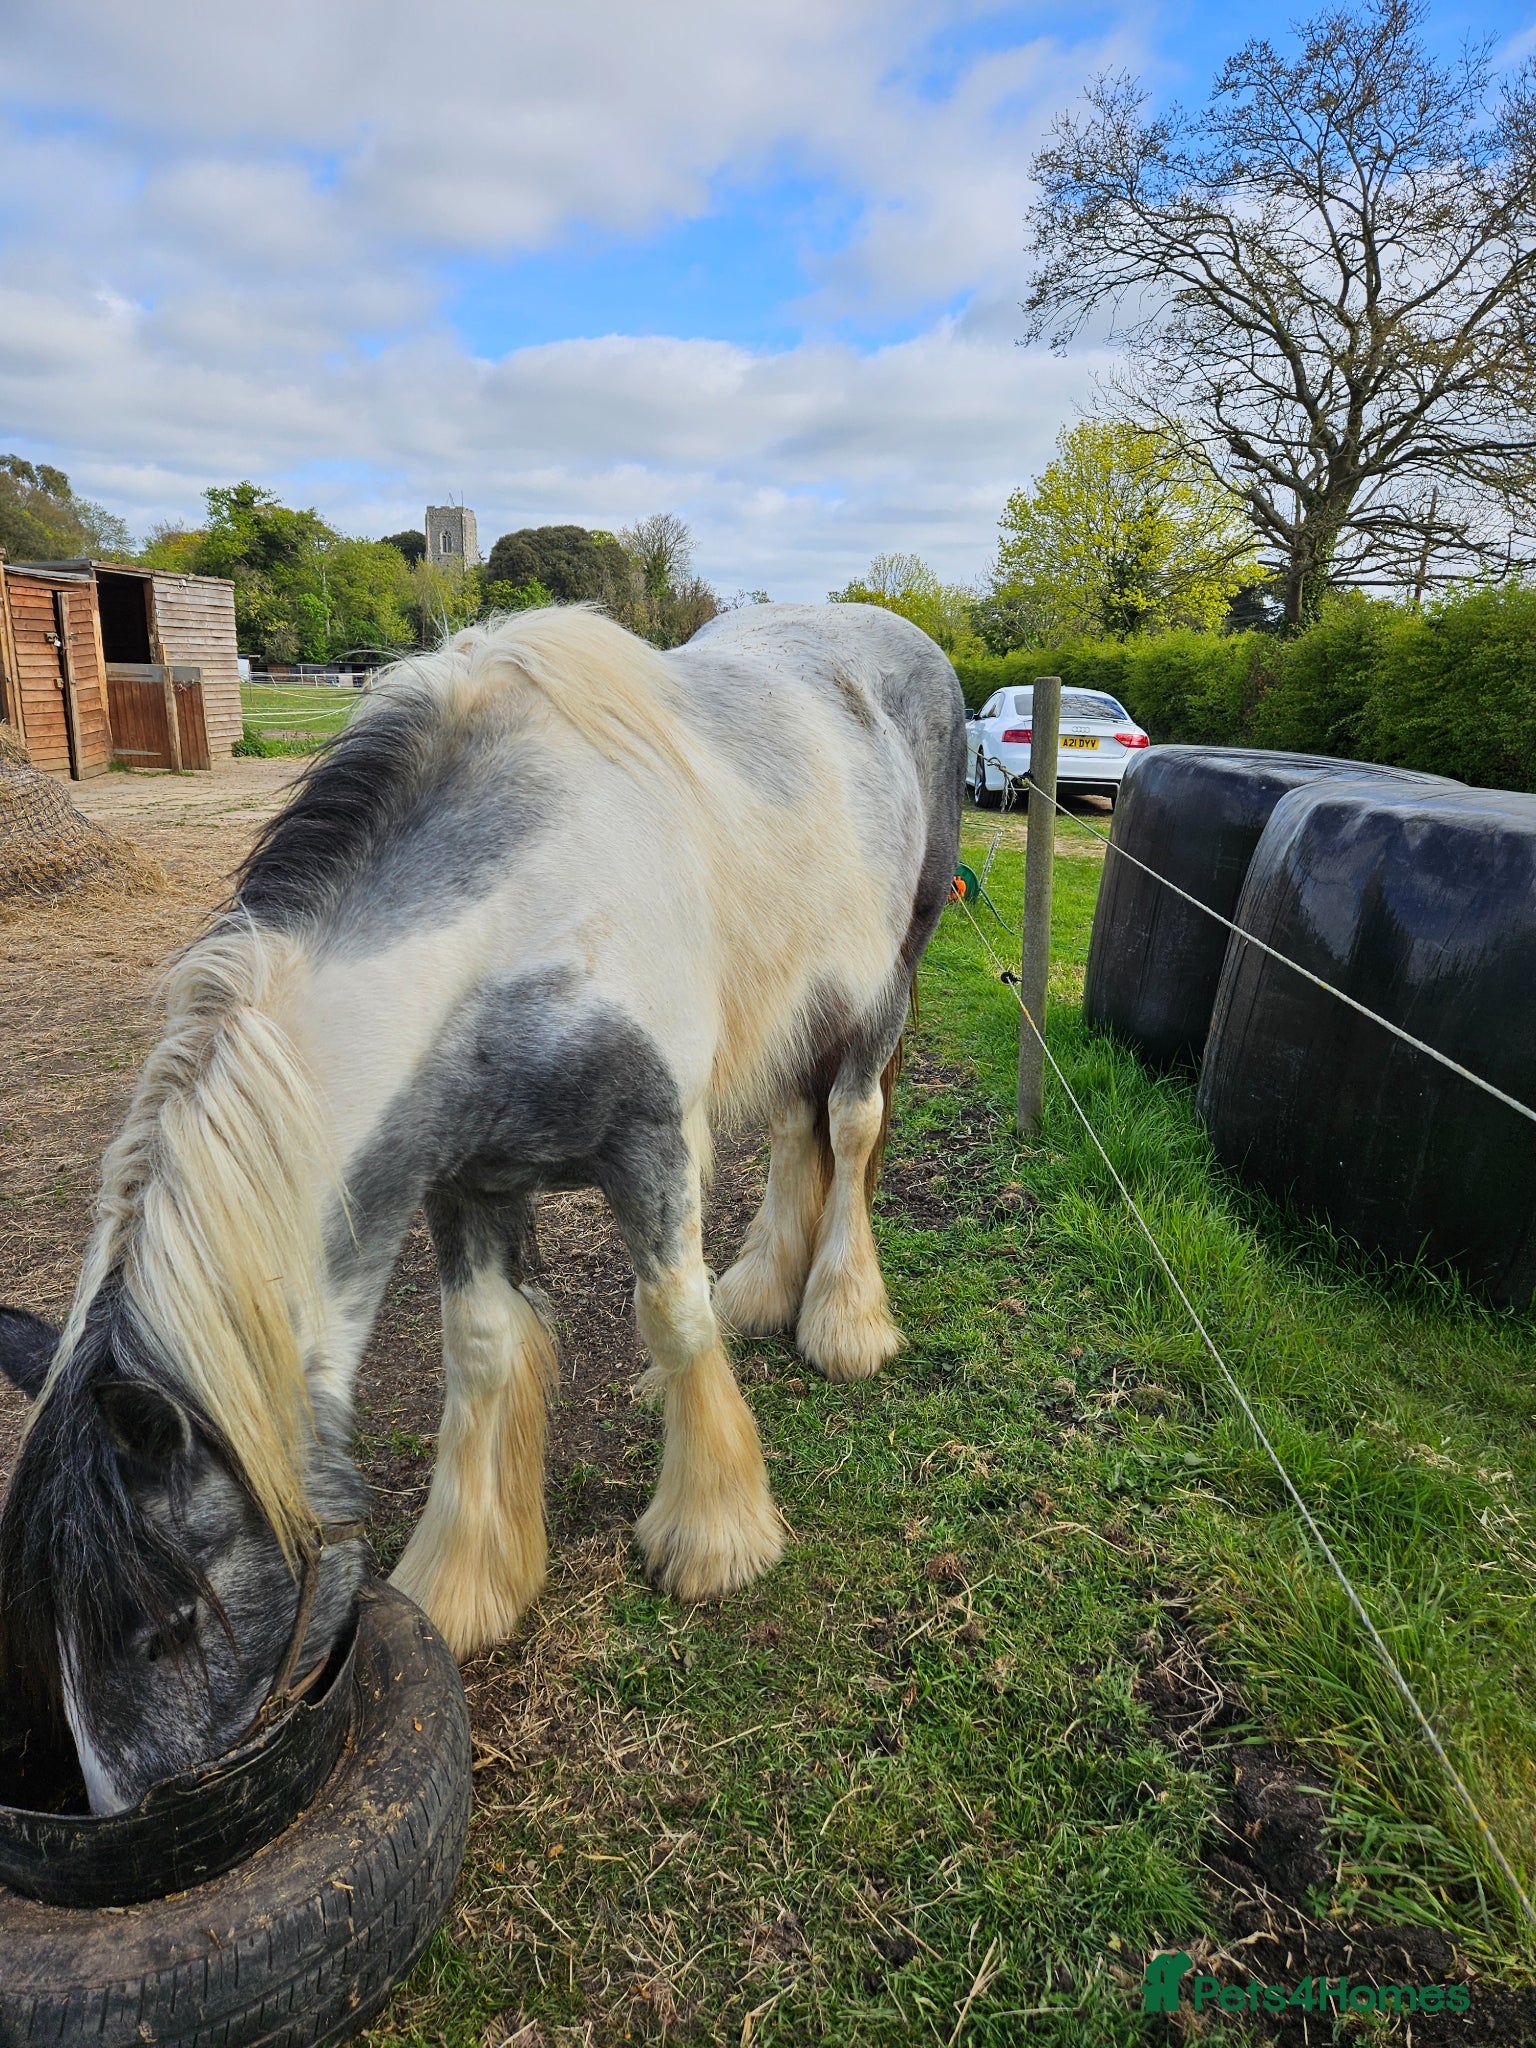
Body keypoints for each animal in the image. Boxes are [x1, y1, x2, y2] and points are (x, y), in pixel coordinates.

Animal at [0, 601, 964, 1813]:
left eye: (169, 1624)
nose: (138, 1826)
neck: (518, 923)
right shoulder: (460, 1180)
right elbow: (483, 1349)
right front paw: (468, 1584)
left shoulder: (653, 1146)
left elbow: (673, 1317)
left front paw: (713, 1536)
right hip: (801, 995)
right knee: (800, 1132)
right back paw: (767, 1292)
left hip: (890, 971)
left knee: (849, 1122)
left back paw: (842, 1320)